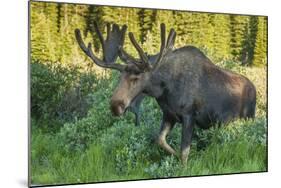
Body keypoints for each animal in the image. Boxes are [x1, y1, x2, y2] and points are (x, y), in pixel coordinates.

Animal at [74, 22, 254, 164]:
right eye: (120, 77)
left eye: (136, 77)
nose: (115, 106)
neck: (164, 90)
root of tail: (255, 89)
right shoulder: (168, 114)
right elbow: (160, 140)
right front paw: (174, 155)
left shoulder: (189, 115)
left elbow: (184, 152)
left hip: (248, 117)